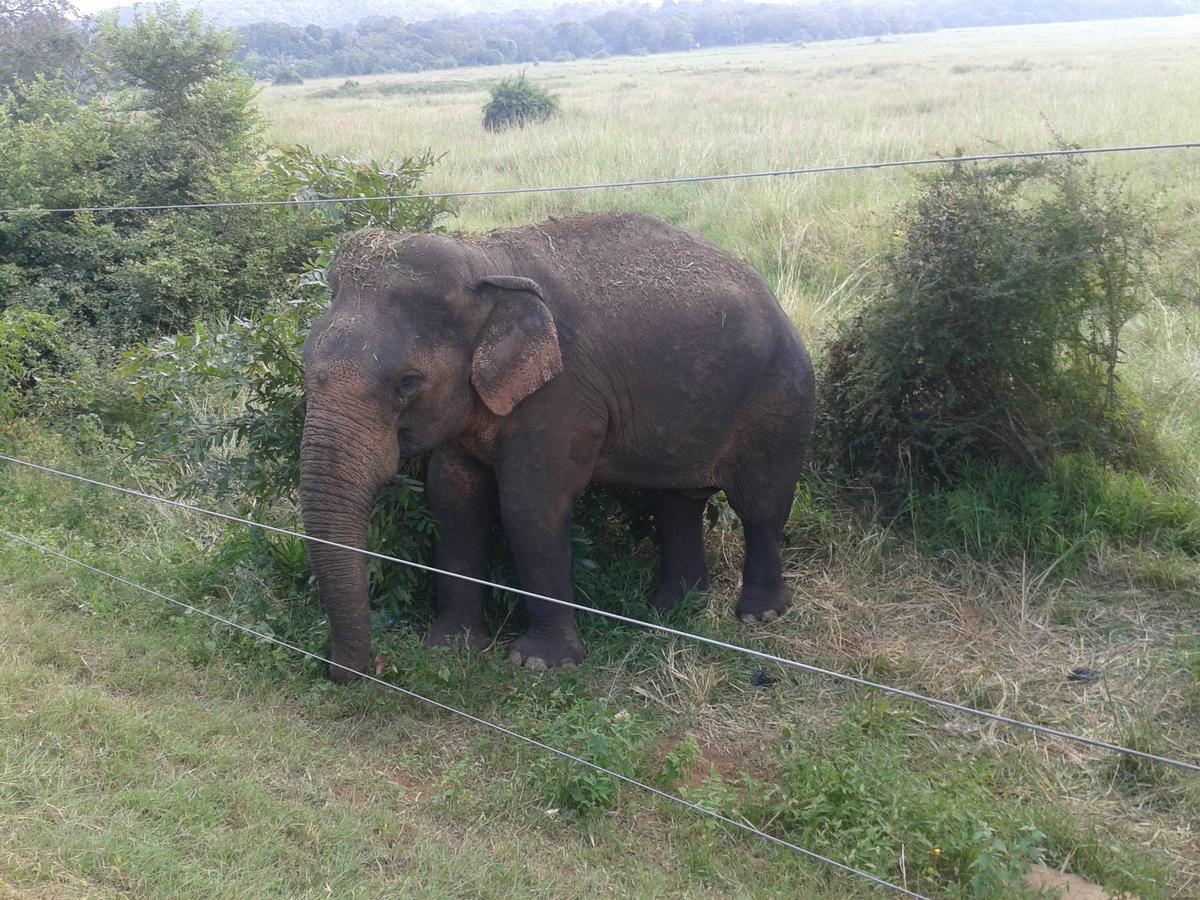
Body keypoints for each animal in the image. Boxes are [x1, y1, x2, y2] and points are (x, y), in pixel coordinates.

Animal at [300, 214, 816, 681]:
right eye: (306, 360)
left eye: (408, 382)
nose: (342, 670)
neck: (483, 261)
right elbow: (453, 500)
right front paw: (450, 647)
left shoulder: (563, 395)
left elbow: (530, 509)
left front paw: (540, 664)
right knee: (675, 504)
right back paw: (671, 610)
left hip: (781, 398)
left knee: (761, 503)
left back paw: (759, 615)